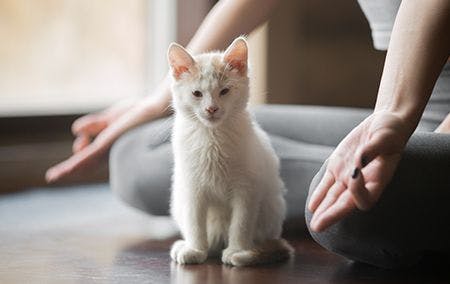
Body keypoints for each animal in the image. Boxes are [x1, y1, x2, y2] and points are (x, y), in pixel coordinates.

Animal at [167, 36, 294, 266]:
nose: (211, 109)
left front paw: (236, 250)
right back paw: (190, 245)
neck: (212, 137)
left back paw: (248, 252)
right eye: (197, 94)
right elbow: (195, 221)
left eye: (224, 91)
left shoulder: (247, 188)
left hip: (271, 206)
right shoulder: (192, 188)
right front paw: (195, 249)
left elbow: (241, 223)